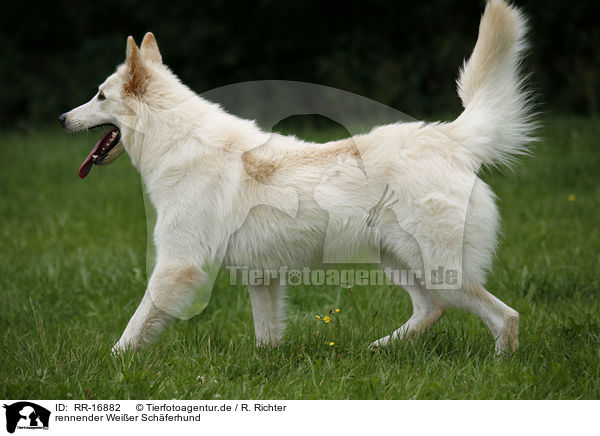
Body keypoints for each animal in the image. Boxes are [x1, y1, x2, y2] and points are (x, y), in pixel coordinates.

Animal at [59, 0, 536, 354]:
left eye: (99, 96)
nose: (62, 118)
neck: (177, 141)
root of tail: (448, 137)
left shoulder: (178, 266)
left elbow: (132, 331)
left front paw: (109, 367)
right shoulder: (262, 277)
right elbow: (267, 339)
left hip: (437, 270)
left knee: (504, 317)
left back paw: (499, 367)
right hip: (397, 261)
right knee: (432, 310)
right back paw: (379, 348)